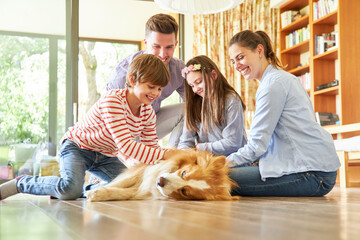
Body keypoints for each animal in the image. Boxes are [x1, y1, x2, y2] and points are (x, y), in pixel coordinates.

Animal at [85, 149, 239, 202]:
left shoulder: (144, 189)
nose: (161, 181)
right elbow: (120, 183)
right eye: (184, 172)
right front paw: (93, 193)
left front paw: (98, 194)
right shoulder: (142, 171)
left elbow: (124, 193)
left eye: (184, 192)